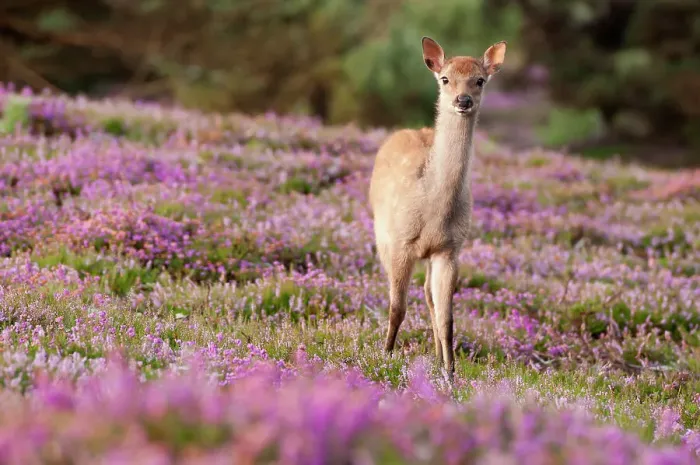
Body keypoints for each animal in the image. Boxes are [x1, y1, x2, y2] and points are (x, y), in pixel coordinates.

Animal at [368, 37, 507, 381]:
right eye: (445, 79)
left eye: (480, 80)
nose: (463, 100)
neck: (433, 210)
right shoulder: (401, 241)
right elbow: (397, 307)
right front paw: (385, 356)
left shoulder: (450, 249)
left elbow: (447, 316)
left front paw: (450, 372)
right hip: (382, 234)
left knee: (429, 295)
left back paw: (436, 355)